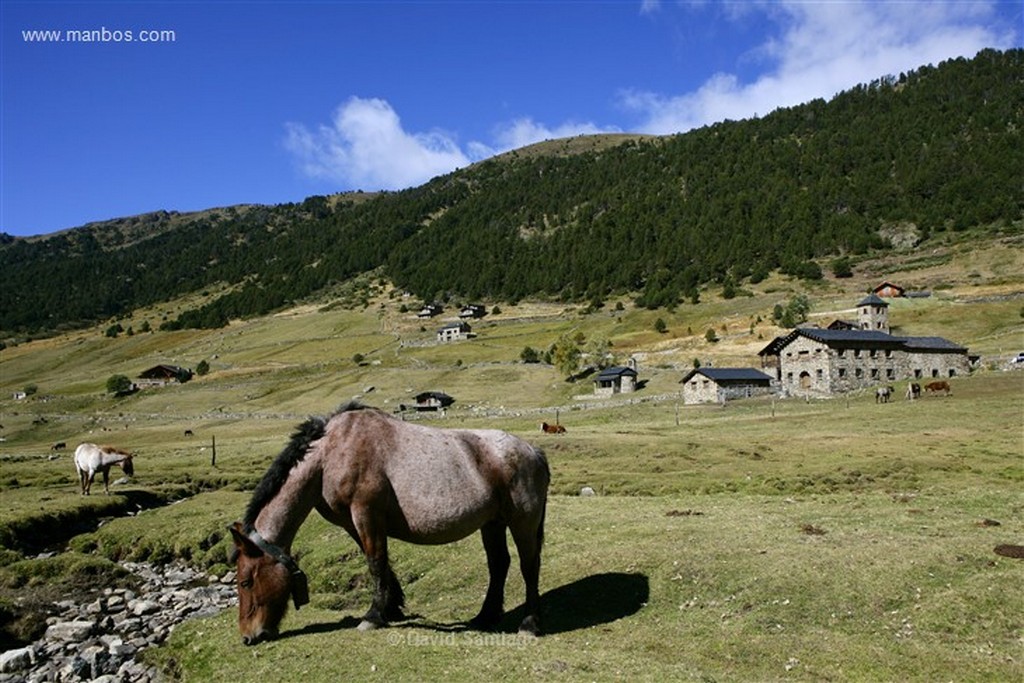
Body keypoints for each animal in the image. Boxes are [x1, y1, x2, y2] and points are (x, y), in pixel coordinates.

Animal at [230, 403, 552, 651]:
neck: (331, 453)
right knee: (499, 564)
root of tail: (533, 451)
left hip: (522, 522)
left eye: (245, 582)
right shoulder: (352, 522)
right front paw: (392, 608)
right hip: (492, 523)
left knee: (529, 566)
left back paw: (530, 623)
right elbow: (379, 563)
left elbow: (375, 562)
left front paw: (373, 616)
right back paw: (485, 615)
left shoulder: (366, 514)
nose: (248, 636)